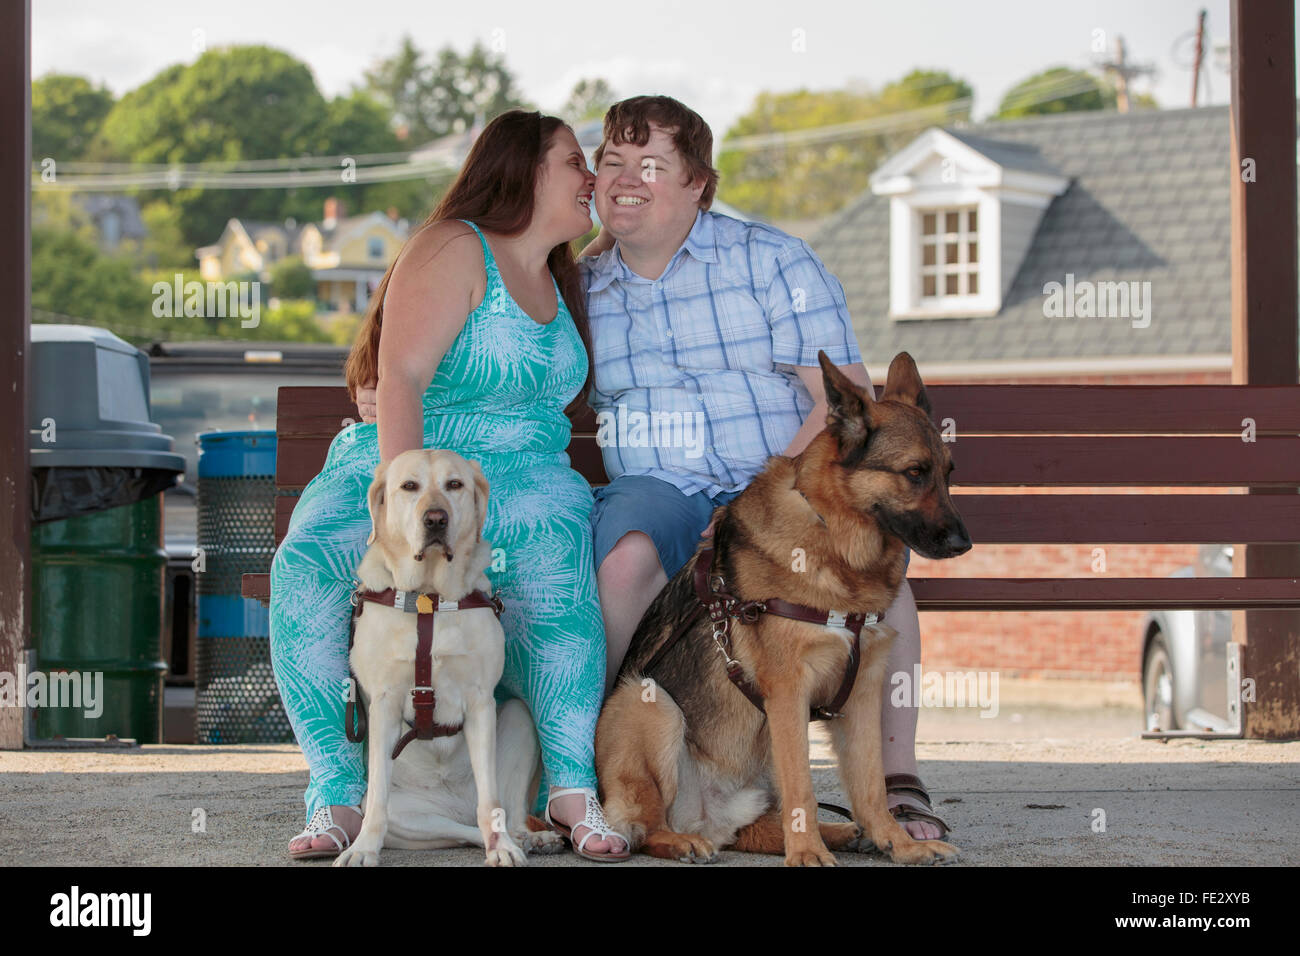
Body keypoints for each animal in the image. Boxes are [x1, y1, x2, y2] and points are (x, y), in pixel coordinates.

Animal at [332, 447, 561, 868]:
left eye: (454, 484)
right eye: (409, 486)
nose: (435, 519)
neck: (429, 598)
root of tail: (453, 803)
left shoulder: (480, 700)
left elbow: (491, 803)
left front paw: (503, 848)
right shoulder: (385, 703)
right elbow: (378, 803)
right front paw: (363, 850)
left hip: (520, 719)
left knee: (503, 814)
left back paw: (526, 839)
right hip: (413, 818)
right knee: (455, 830)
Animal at [595, 348, 972, 868]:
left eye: (948, 473)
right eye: (914, 472)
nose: (964, 544)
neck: (833, 535)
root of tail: (710, 820)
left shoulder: (862, 693)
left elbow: (870, 786)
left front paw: (899, 843)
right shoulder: (789, 692)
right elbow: (804, 789)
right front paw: (808, 852)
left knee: (753, 829)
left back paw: (844, 832)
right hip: (648, 701)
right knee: (647, 826)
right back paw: (682, 841)